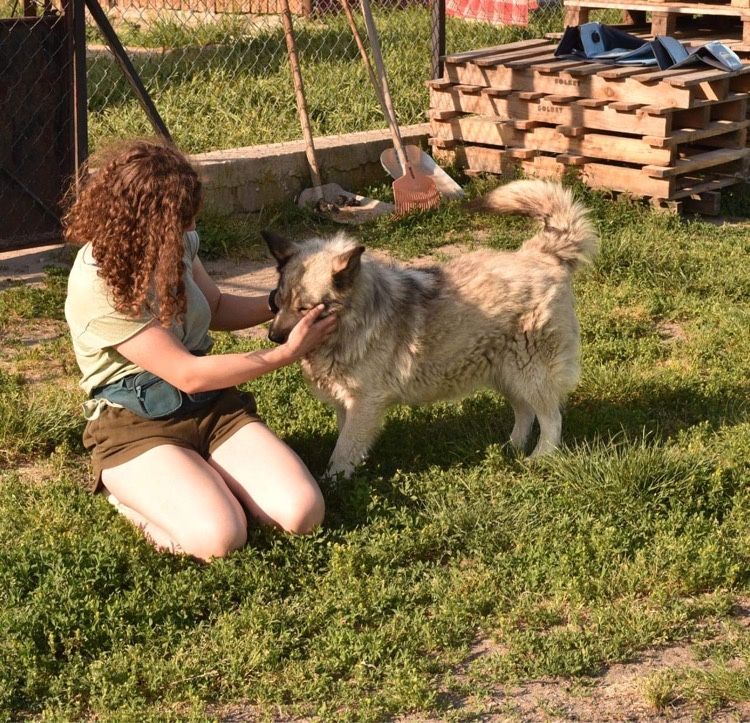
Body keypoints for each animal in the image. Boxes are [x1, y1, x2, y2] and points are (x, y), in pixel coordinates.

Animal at [262, 178, 600, 478]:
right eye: (277, 300)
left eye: (305, 308)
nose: (274, 337)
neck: (354, 321)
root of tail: (541, 253)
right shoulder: (346, 405)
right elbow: (344, 446)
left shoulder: (364, 405)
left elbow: (342, 452)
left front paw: (333, 486)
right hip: (507, 373)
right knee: (525, 412)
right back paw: (510, 448)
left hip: (530, 373)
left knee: (551, 419)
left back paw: (540, 457)